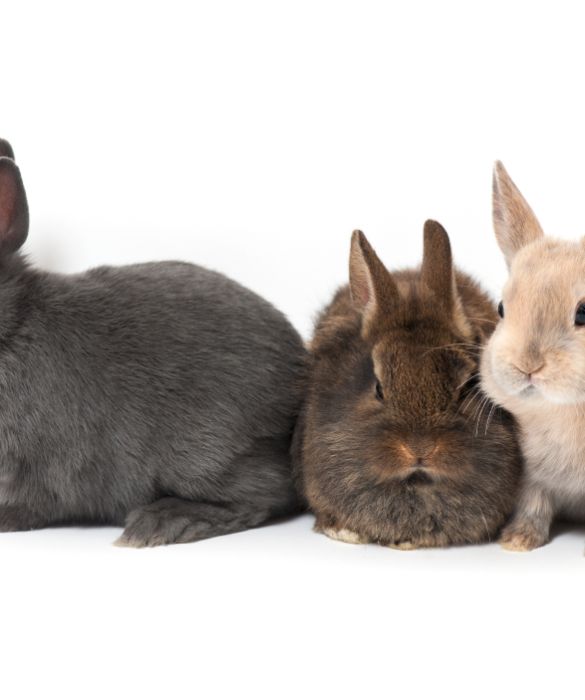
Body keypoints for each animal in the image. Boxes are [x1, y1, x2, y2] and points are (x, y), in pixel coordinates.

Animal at [480, 161, 585, 548]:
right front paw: (517, 541)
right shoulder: (531, 480)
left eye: (584, 313)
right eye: (501, 308)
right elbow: (533, 507)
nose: (528, 365)